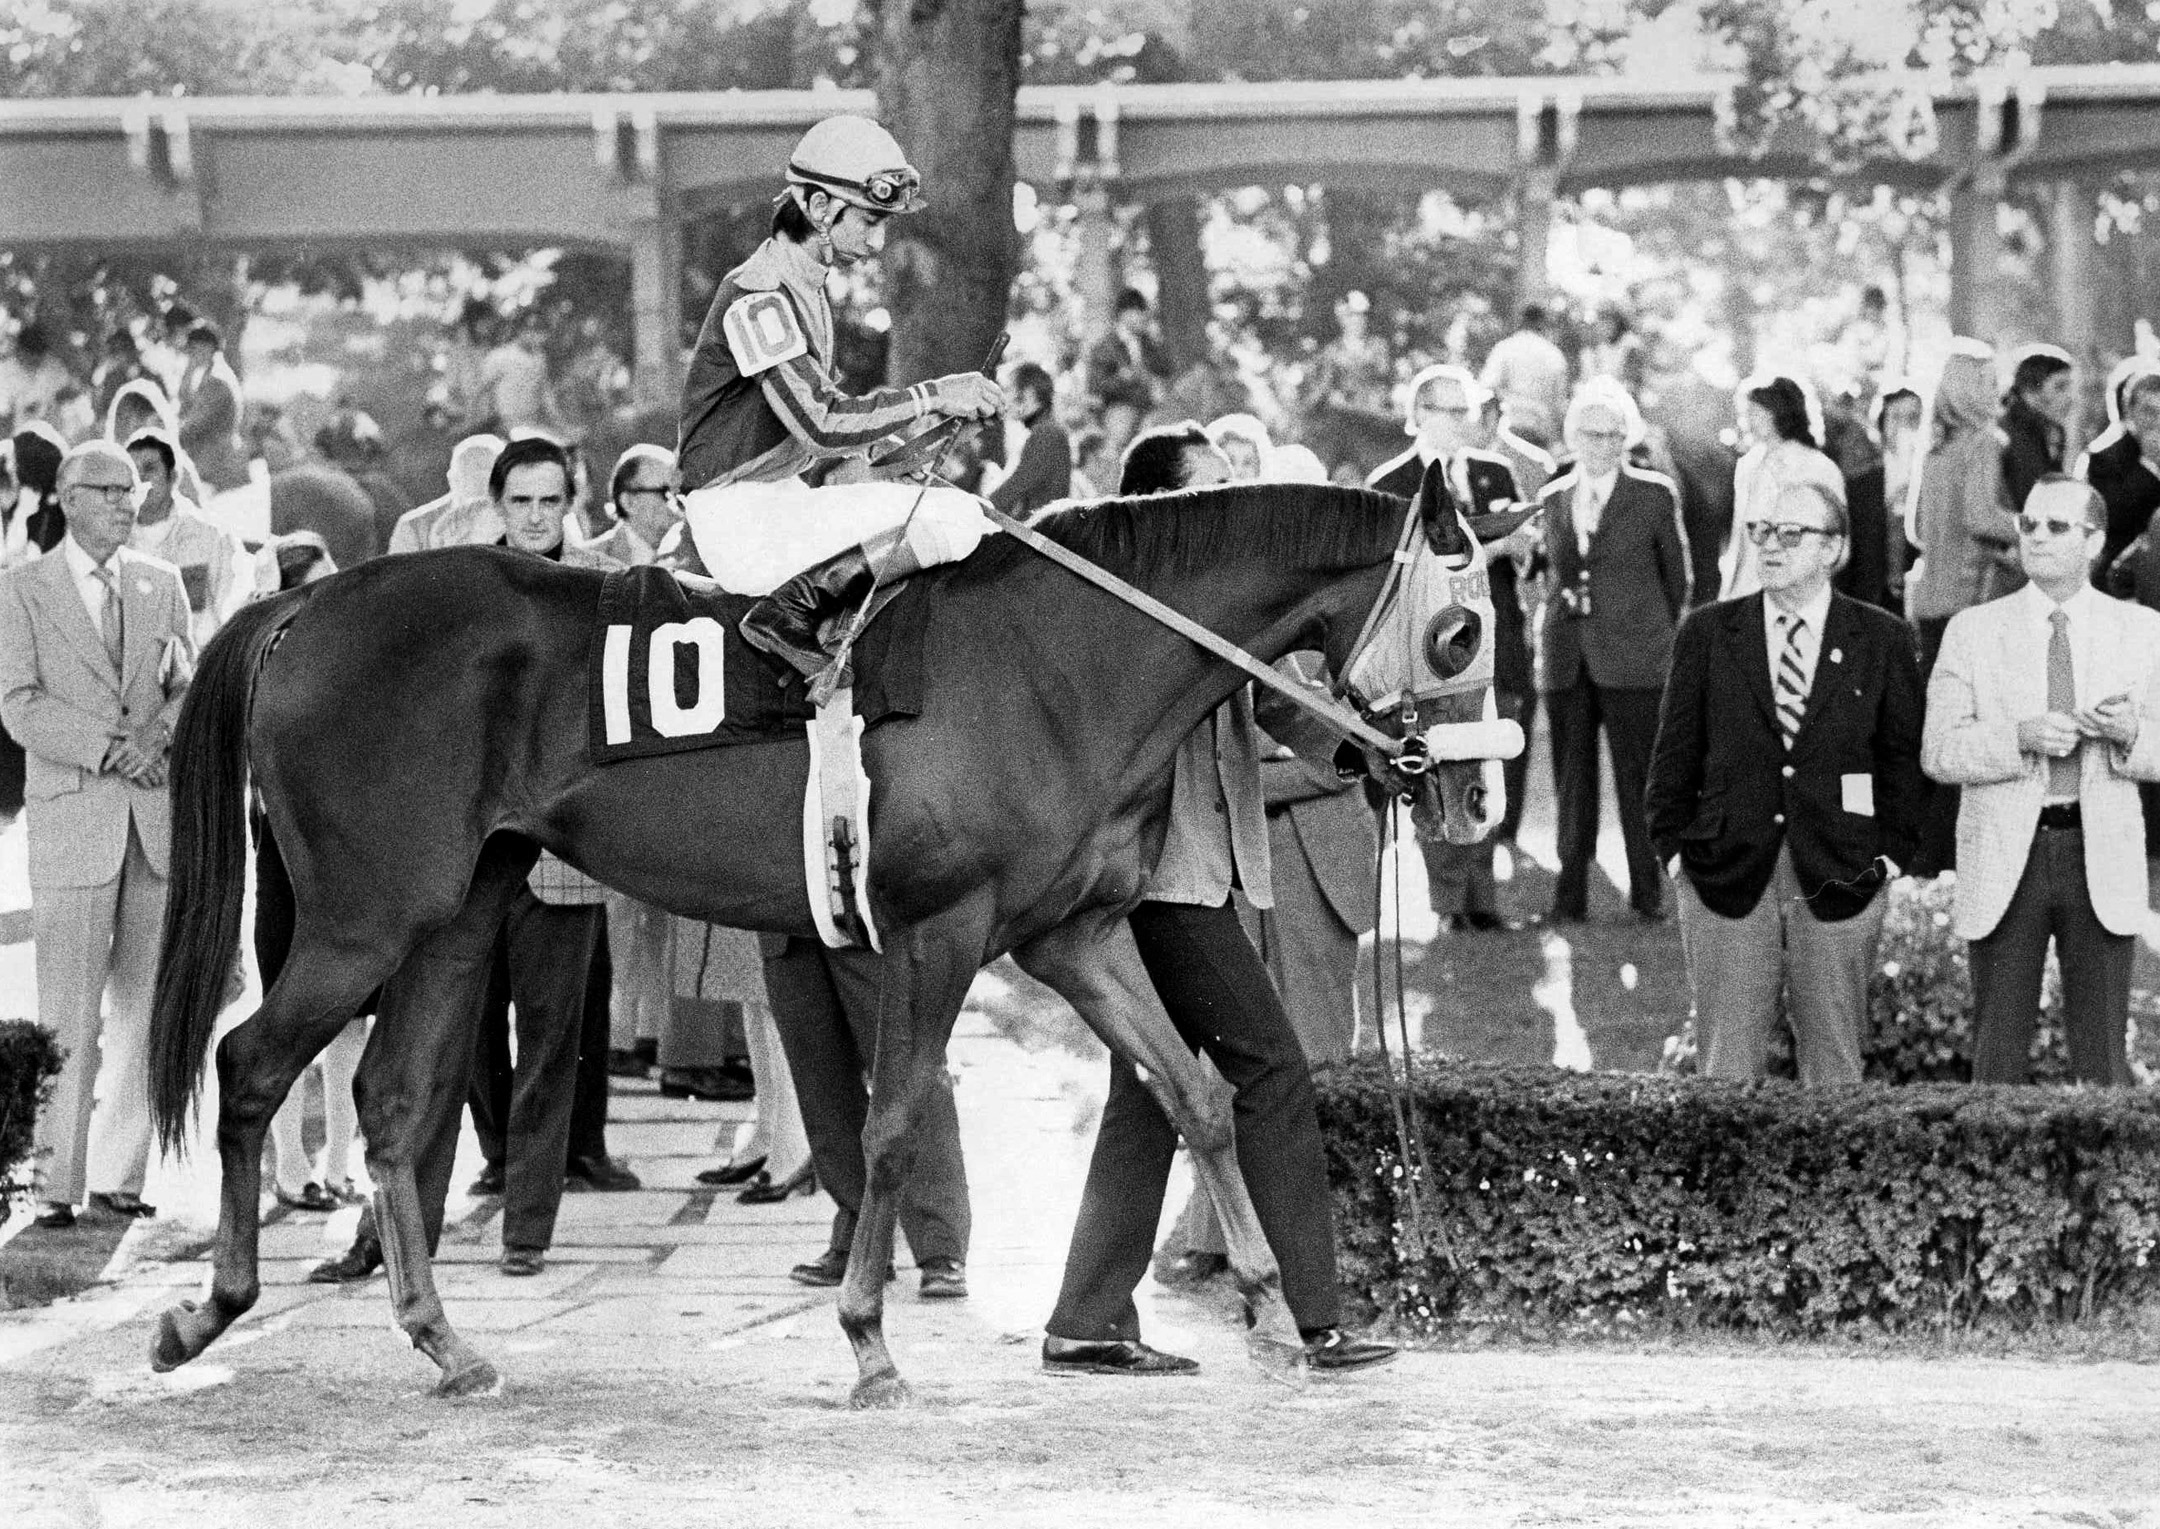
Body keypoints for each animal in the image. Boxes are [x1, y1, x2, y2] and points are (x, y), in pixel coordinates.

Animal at [147, 483, 1503, 1399]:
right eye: (1464, 634)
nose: (1477, 793)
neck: (1062, 657)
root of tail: (306, 600)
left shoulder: (1074, 934)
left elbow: (1197, 1092)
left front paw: (1276, 1307)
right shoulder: (937, 931)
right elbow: (895, 1119)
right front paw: (869, 1341)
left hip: (454, 908)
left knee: (390, 1098)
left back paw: (446, 1340)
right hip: (362, 914)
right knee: (250, 1063)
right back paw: (206, 1311)